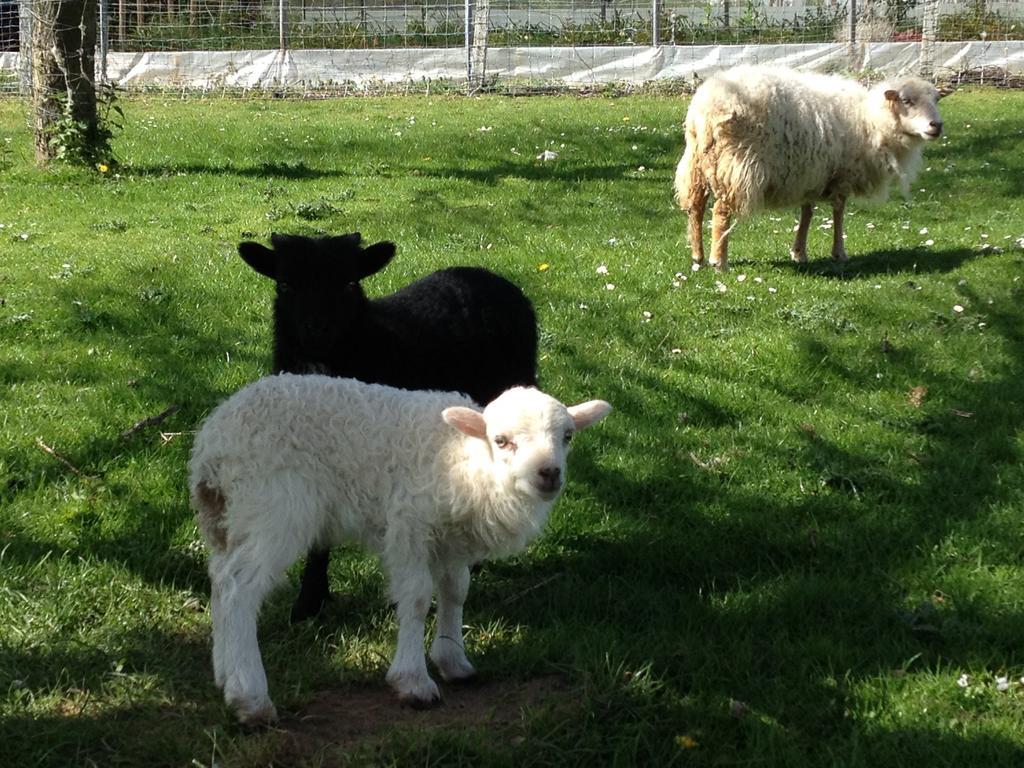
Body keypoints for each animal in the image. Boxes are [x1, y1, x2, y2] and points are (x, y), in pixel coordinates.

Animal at [188, 376, 610, 724]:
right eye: (502, 441)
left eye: (568, 436)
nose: (549, 474)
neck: (466, 460)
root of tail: (211, 444)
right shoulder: (410, 524)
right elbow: (419, 598)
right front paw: (413, 681)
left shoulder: (451, 541)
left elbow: (456, 592)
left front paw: (454, 659)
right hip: (273, 508)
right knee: (240, 589)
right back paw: (250, 698)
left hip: (230, 518)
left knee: (221, 580)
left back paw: (224, 674)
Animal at [671, 65, 942, 274]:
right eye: (906, 101)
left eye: (936, 100)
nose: (937, 125)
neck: (871, 121)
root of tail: (706, 108)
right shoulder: (842, 174)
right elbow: (839, 211)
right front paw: (839, 252)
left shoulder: (811, 173)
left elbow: (807, 212)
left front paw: (799, 252)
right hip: (736, 166)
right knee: (720, 212)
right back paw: (719, 261)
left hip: (697, 163)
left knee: (695, 208)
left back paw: (698, 257)